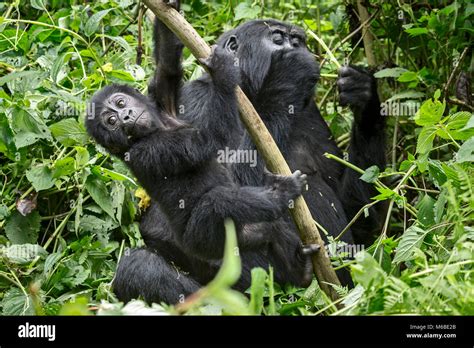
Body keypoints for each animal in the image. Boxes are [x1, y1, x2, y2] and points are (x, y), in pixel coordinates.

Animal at [87, 45, 312, 302]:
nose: (125, 116)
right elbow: (211, 139)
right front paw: (223, 73)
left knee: (270, 228)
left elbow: (167, 65)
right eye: (111, 121)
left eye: (121, 102)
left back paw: (300, 270)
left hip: (241, 238)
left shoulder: (165, 104)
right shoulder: (152, 150)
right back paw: (281, 194)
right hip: (203, 242)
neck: (157, 128)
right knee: (216, 203)